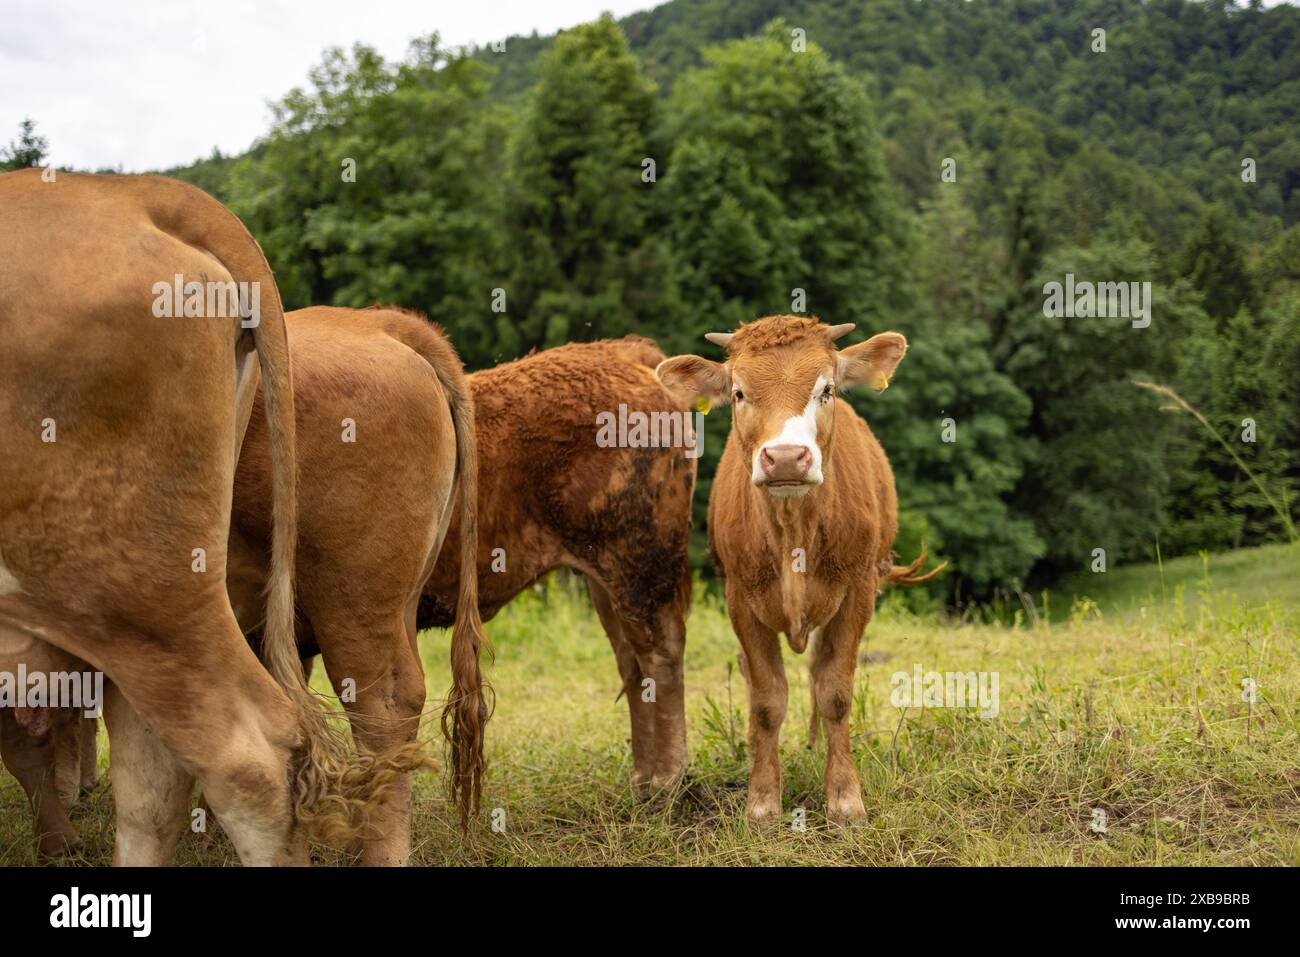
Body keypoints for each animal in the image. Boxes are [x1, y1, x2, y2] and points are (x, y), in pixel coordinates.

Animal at [419, 337, 695, 794]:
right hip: (607, 581)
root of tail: (624, 352)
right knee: (633, 663)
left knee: (661, 657)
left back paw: (666, 781)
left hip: (638, 564)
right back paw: (642, 778)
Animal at [655, 315, 941, 825]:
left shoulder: (857, 592)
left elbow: (835, 692)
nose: (786, 457)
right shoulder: (739, 599)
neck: (793, 534)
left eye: (826, 390)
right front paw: (762, 801)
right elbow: (767, 700)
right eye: (738, 392)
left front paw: (845, 797)